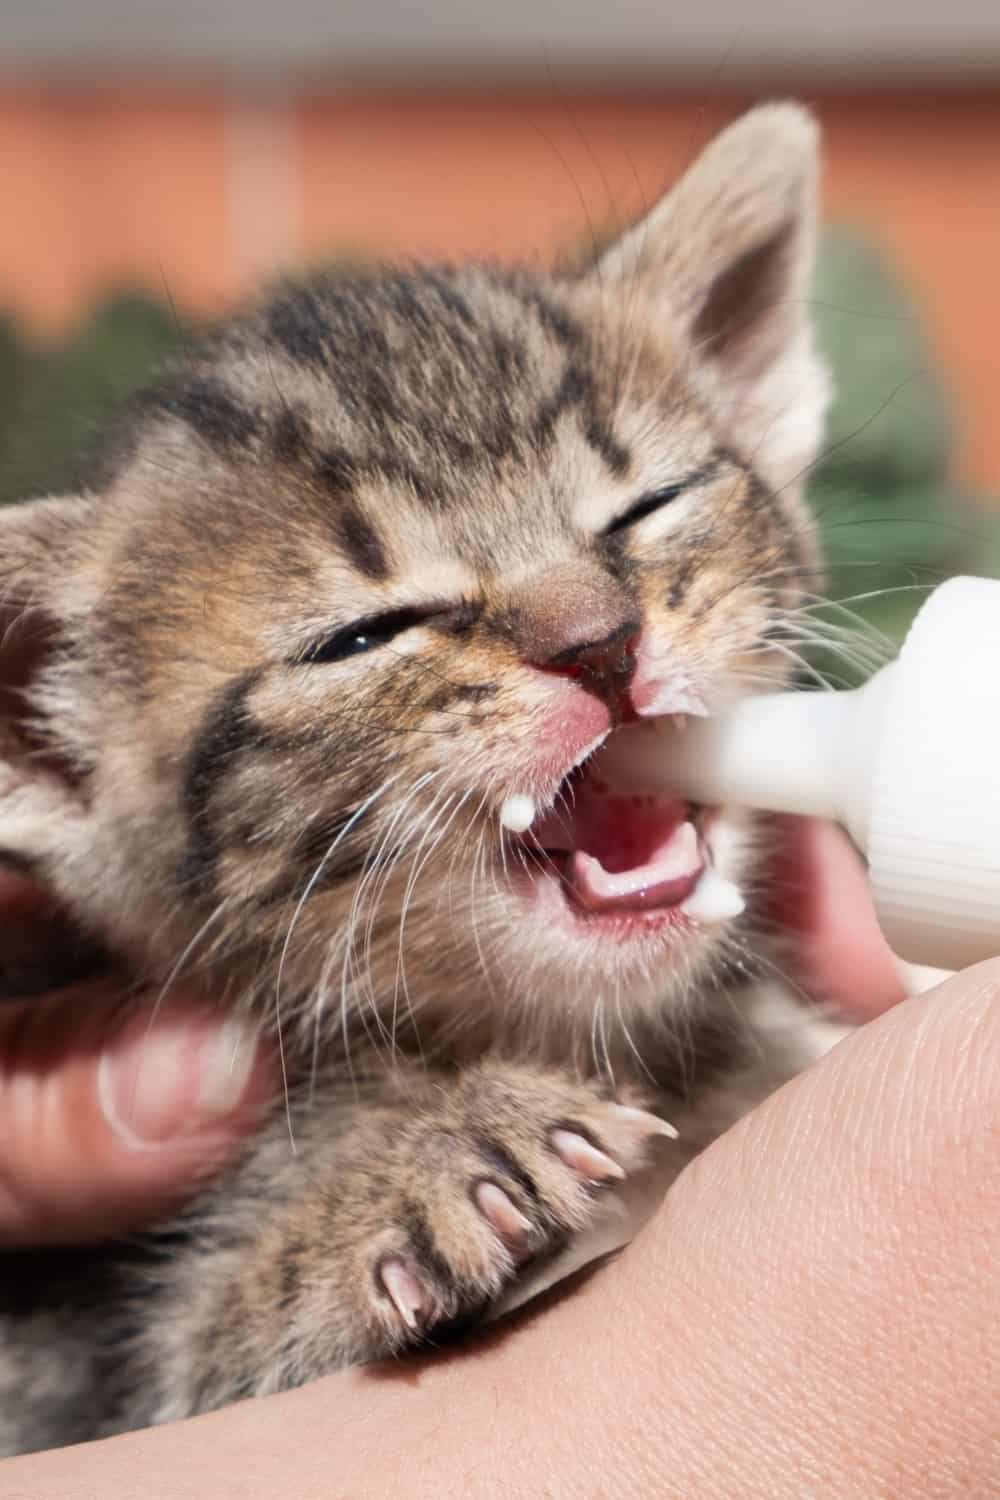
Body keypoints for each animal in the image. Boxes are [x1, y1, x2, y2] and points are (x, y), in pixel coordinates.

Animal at [1, 96, 839, 1452]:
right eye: (365, 636)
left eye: (646, 506)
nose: (599, 642)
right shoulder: (93, 1382)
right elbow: (213, 1347)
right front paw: (417, 1169)